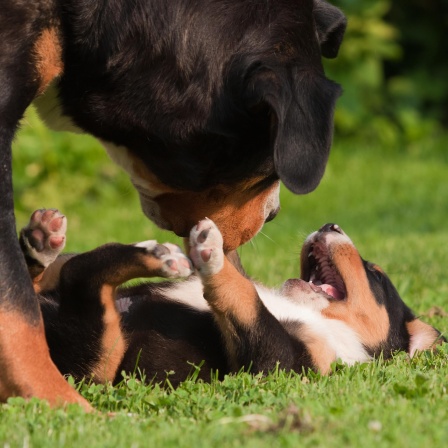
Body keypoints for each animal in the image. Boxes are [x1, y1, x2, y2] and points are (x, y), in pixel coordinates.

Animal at [21, 209, 444, 384]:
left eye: (376, 274)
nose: (330, 225)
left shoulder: (278, 365)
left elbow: (248, 300)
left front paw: (214, 256)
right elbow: (250, 289)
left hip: (100, 357)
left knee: (83, 280)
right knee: (61, 275)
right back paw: (42, 242)